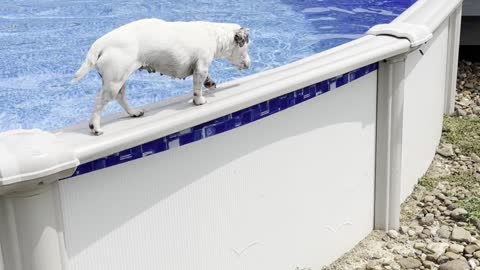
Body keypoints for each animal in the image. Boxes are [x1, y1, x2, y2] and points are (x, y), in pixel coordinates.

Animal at [72, 18, 251, 135]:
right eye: (246, 47)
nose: (249, 64)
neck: (214, 34)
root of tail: (100, 43)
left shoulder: (200, 68)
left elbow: (204, 80)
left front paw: (210, 83)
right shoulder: (201, 66)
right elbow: (197, 88)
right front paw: (199, 101)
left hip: (118, 80)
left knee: (121, 98)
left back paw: (134, 113)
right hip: (114, 81)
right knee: (99, 104)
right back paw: (95, 127)